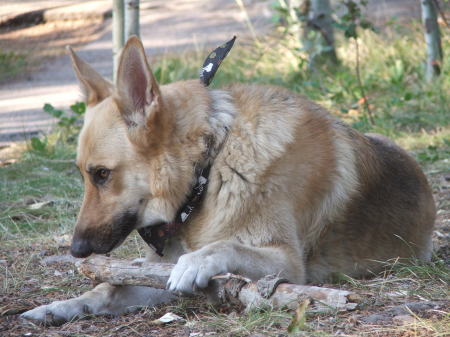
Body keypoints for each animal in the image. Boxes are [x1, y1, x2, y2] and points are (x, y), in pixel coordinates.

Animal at [22, 36, 436, 322]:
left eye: (102, 174)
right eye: (85, 174)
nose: (76, 251)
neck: (208, 167)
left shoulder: (287, 263)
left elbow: (226, 246)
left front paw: (197, 260)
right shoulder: (156, 273)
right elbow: (110, 288)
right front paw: (61, 306)